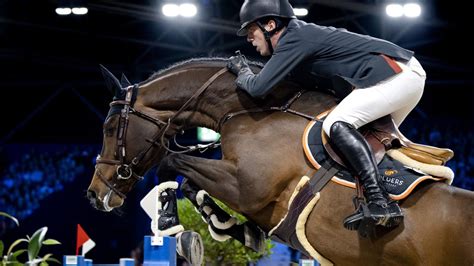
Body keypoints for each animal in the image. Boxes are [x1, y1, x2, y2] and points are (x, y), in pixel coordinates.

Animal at [86, 59, 474, 264]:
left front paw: (168, 217)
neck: (247, 111)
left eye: (109, 128)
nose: (94, 195)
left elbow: (172, 165)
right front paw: (228, 225)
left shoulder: (246, 186)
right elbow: (189, 180)